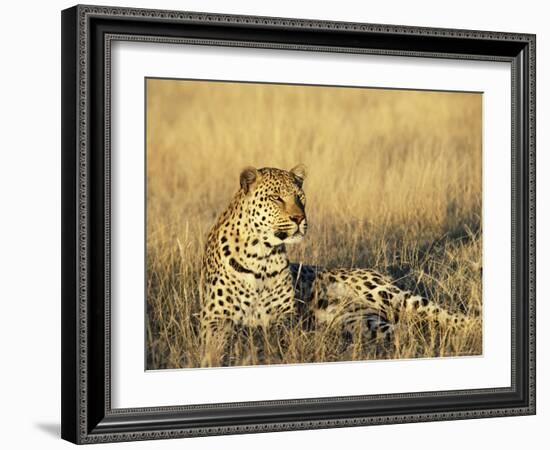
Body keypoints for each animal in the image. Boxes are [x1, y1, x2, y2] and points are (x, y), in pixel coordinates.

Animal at [201, 165, 480, 366]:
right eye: (276, 198)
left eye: (300, 198)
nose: (299, 218)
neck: (262, 255)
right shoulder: (213, 318)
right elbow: (225, 338)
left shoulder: (286, 317)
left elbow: (273, 333)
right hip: (363, 322)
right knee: (406, 330)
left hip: (389, 295)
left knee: (441, 313)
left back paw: (474, 328)